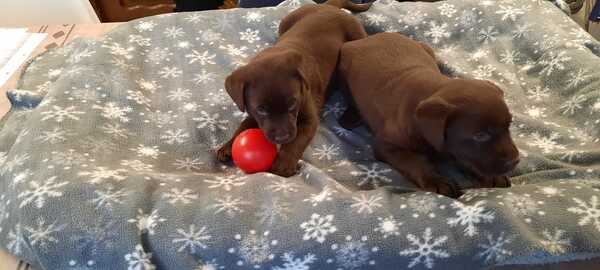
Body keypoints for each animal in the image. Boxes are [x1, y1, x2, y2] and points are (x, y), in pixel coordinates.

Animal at [218, 0, 370, 176]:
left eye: (292, 104)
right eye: (261, 110)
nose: (282, 137)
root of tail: (329, 6)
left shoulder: (309, 118)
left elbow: (298, 139)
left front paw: (283, 164)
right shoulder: (252, 111)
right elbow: (244, 124)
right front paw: (228, 146)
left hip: (356, 35)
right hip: (285, 22)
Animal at [338, 32, 520, 197]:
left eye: (509, 126)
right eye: (480, 135)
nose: (516, 161)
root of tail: (370, 37)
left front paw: (490, 176)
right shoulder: (386, 145)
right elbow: (414, 161)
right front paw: (436, 181)